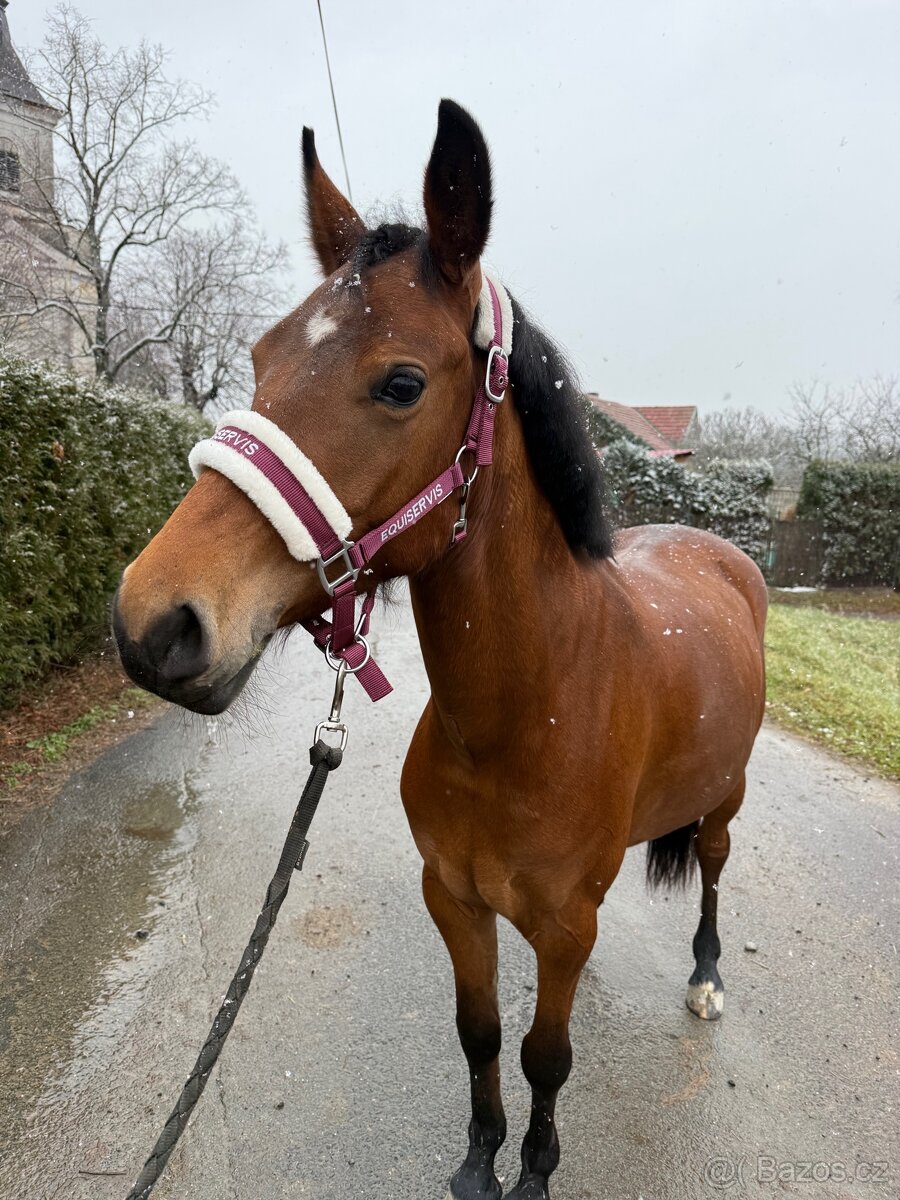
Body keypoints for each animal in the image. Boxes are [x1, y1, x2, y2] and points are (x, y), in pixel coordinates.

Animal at [112, 100, 767, 1200]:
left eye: (402, 383)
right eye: (261, 356)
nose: (153, 623)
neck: (526, 713)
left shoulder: (563, 922)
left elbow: (547, 1056)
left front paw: (534, 1171)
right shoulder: (455, 900)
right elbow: (483, 1034)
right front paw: (476, 1163)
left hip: (725, 802)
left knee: (712, 872)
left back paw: (709, 976)